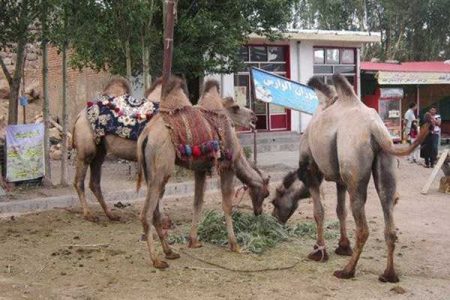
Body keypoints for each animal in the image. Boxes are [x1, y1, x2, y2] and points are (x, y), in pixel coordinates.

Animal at [73, 77, 256, 223]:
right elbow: (160, 189)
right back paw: (89, 215)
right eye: (235, 107)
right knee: (79, 180)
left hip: (100, 150)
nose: (254, 116)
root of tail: (80, 115)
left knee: (94, 181)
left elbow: (160, 189)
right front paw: (160, 218)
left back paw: (111, 215)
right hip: (86, 148)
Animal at [136, 77, 270, 270]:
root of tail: (145, 136)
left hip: (150, 173)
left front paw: (193, 241)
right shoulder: (228, 166)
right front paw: (235, 245)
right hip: (162, 170)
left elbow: (197, 203)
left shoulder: (199, 170)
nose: (254, 116)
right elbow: (227, 205)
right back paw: (157, 260)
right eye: (266, 194)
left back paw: (170, 252)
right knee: (146, 213)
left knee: (155, 212)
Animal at [268, 74, 428, 282]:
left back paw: (346, 271)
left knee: (363, 226)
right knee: (388, 208)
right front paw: (343, 246)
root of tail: (375, 129)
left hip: (354, 163)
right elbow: (340, 211)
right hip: (385, 161)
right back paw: (388, 274)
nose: (275, 219)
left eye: (275, 201)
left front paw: (319, 252)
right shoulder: (340, 180)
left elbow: (319, 211)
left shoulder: (311, 171)